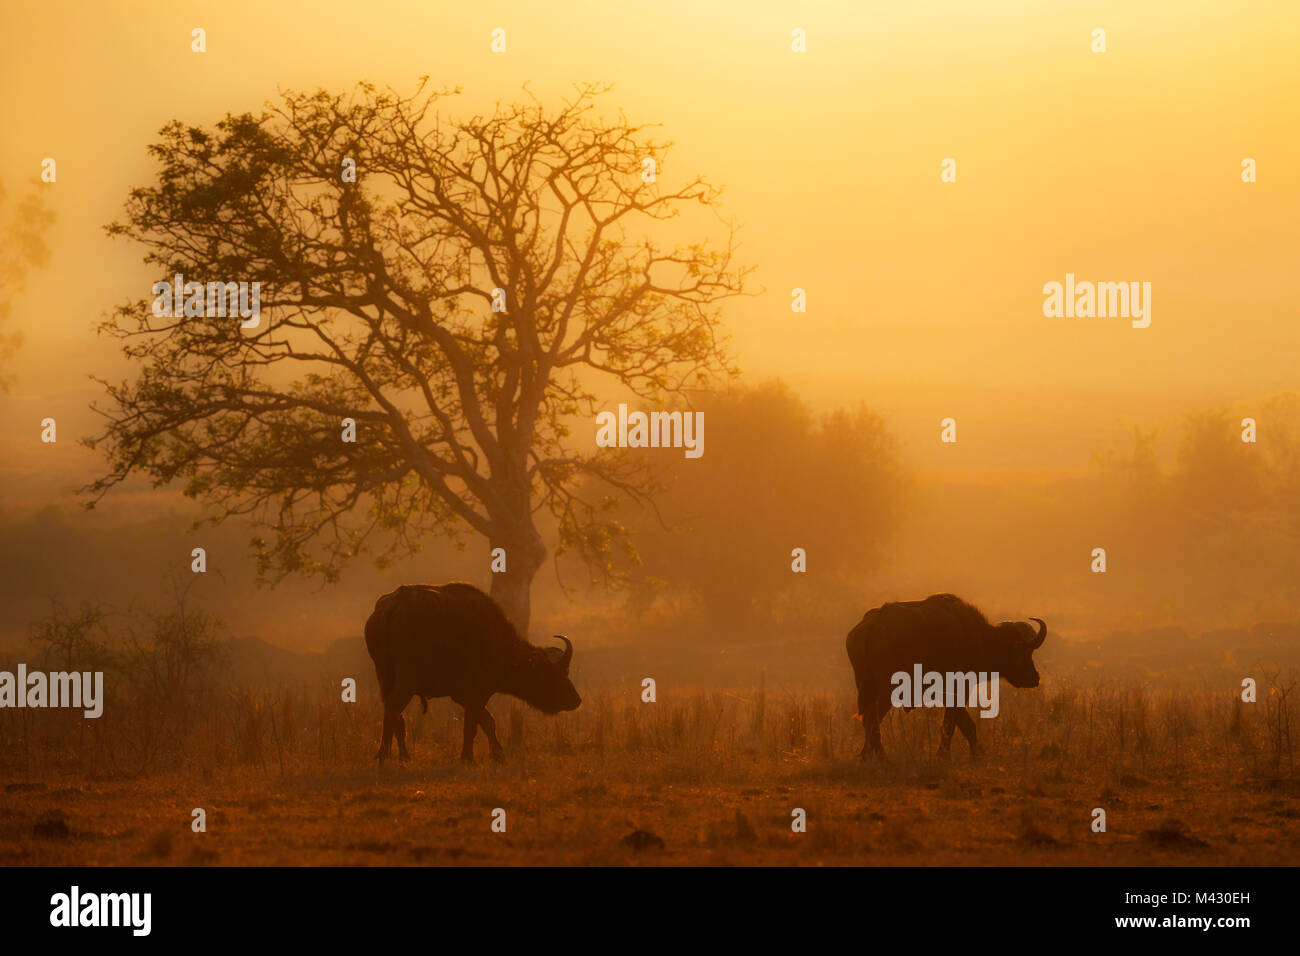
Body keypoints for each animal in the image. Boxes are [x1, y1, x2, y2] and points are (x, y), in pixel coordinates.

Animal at [358, 580, 577, 764]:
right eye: (557, 672)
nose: (576, 700)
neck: (497, 643)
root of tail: (392, 607)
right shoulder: (478, 693)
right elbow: (472, 726)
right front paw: (468, 758)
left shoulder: (464, 696)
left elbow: (487, 721)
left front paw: (498, 754)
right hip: (407, 681)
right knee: (393, 709)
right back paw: (384, 756)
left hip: (384, 675)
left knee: (394, 713)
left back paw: (403, 756)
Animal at [842, 595, 1045, 759]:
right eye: (1025, 652)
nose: (1035, 678)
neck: (975, 638)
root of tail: (873, 624)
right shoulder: (957, 690)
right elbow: (956, 724)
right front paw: (950, 754)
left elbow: (960, 723)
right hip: (886, 690)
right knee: (872, 720)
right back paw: (880, 757)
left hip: (867, 688)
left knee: (868, 719)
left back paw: (868, 755)